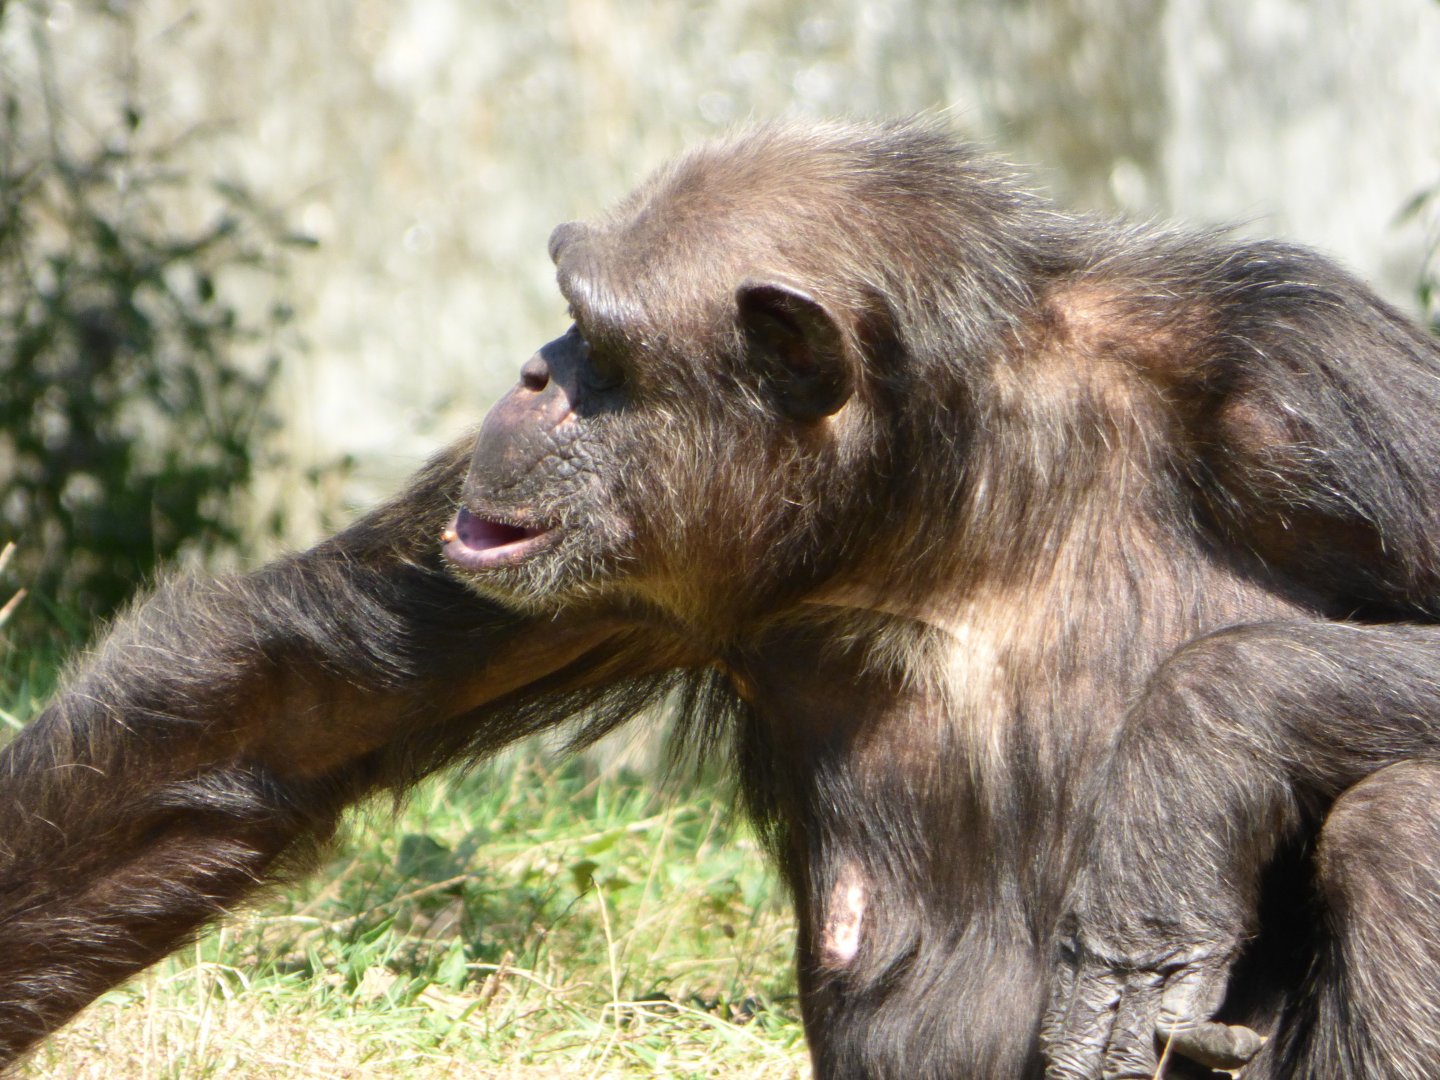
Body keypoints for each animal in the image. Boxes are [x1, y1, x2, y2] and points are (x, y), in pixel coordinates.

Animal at [8, 118, 1440, 1078]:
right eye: (568, 315)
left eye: (601, 336)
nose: (533, 370)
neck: (950, 484)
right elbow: (284, 705)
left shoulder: (1311, 372)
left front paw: (1181, 790)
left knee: (1400, 821)